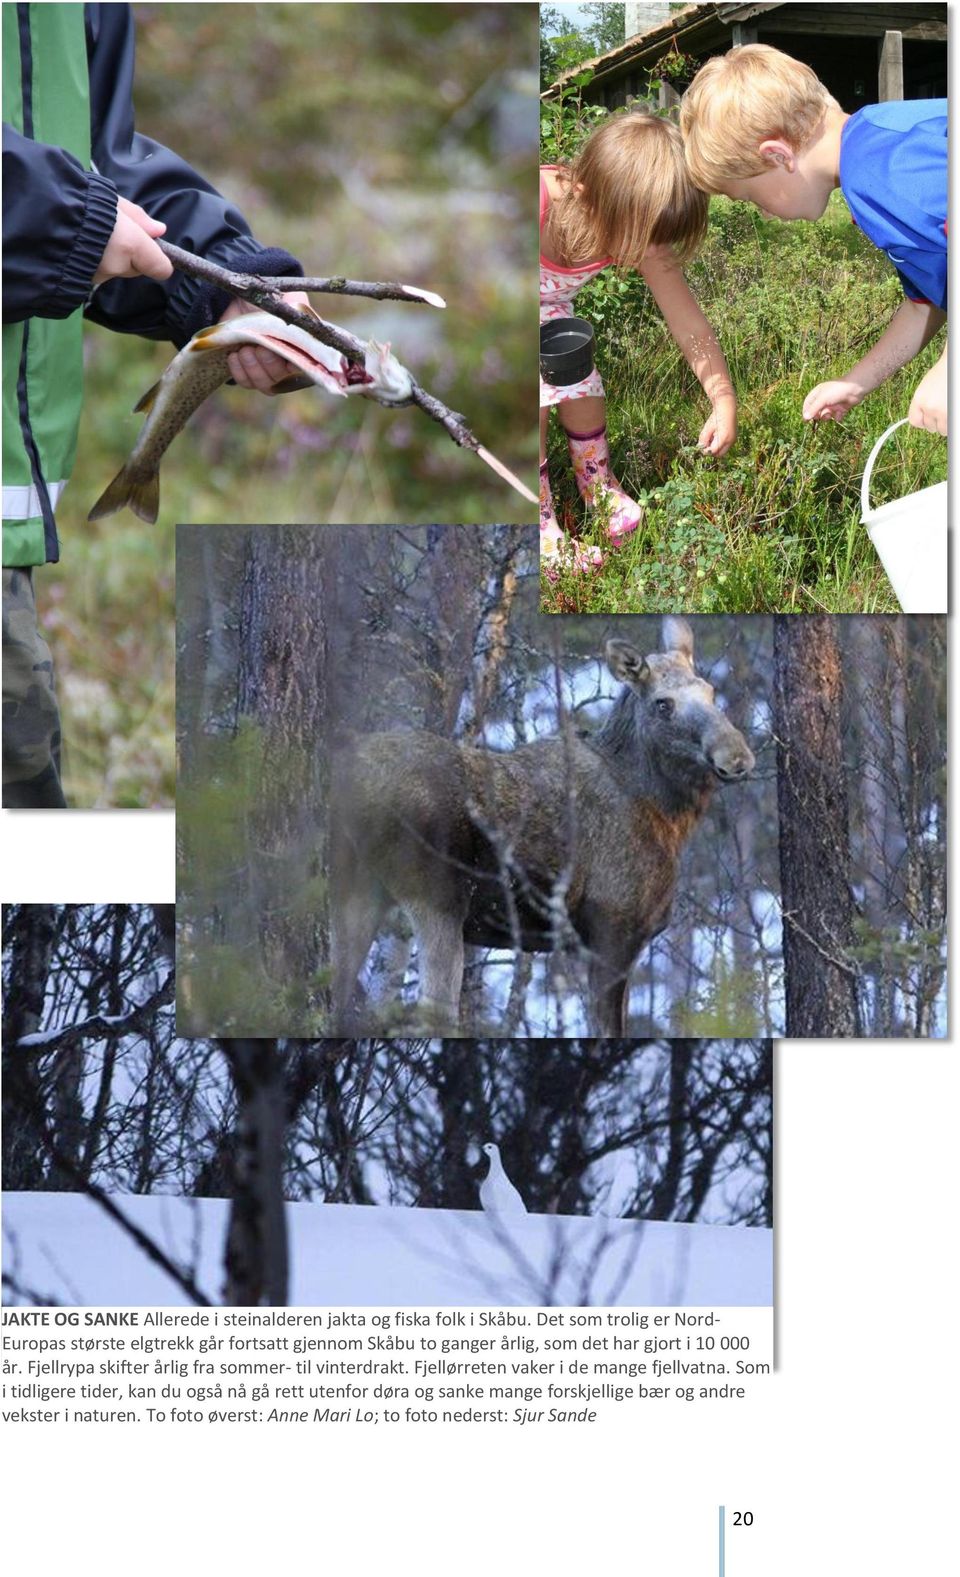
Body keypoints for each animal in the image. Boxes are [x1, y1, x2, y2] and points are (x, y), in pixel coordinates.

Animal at [329, 615, 756, 1034]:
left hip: (355, 888)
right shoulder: (613, 927)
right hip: (437, 896)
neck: (668, 816)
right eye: (663, 704)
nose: (737, 756)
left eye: (711, 692)